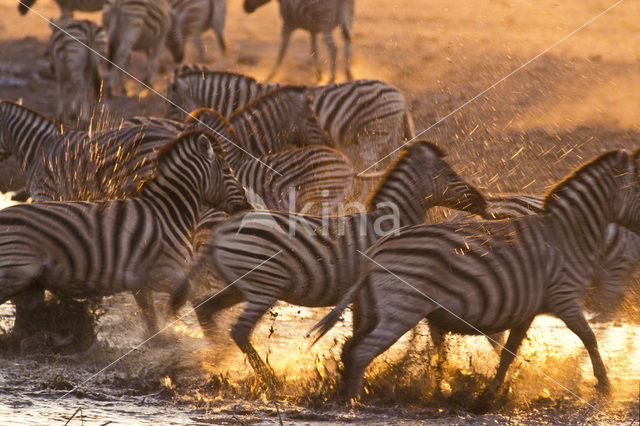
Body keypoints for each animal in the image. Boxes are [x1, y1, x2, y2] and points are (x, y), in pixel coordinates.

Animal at [0, 130, 250, 336]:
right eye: (227, 171)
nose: (248, 206)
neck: (168, 213)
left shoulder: (140, 283)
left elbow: (152, 323)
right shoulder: (165, 272)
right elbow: (191, 301)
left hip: (29, 283)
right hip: (14, 272)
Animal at [172, 140, 488, 382]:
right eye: (448, 173)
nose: (483, 201)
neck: (389, 224)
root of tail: (221, 230)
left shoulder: (363, 295)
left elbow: (360, 332)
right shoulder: (370, 291)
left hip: (241, 285)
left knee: (205, 308)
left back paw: (215, 357)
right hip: (264, 285)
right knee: (238, 330)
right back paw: (269, 378)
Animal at [312, 148, 640, 404]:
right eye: (639, 189)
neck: (569, 232)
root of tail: (374, 254)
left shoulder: (529, 310)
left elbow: (509, 353)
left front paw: (489, 395)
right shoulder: (565, 297)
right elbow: (590, 338)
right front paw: (605, 387)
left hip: (373, 309)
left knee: (350, 349)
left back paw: (345, 393)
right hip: (401, 310)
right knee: (361, 352)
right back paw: (355, 400)